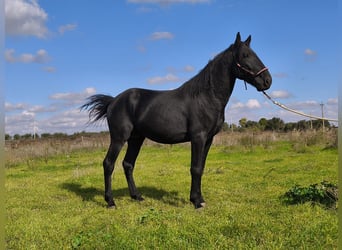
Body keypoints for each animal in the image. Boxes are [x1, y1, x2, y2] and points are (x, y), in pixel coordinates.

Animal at [82, 33, 272, 209]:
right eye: (245, 55)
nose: (267, 81)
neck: (206, 97)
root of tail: (114, 101)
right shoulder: (198, 137)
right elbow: (195, 168)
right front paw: (196, 202)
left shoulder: (208, 139)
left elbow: (201, 167)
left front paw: (199, 199)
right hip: (119, 138)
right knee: (108, 164)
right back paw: (110, 201)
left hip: (136, 139)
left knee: (128, 164)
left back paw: (137, 196)